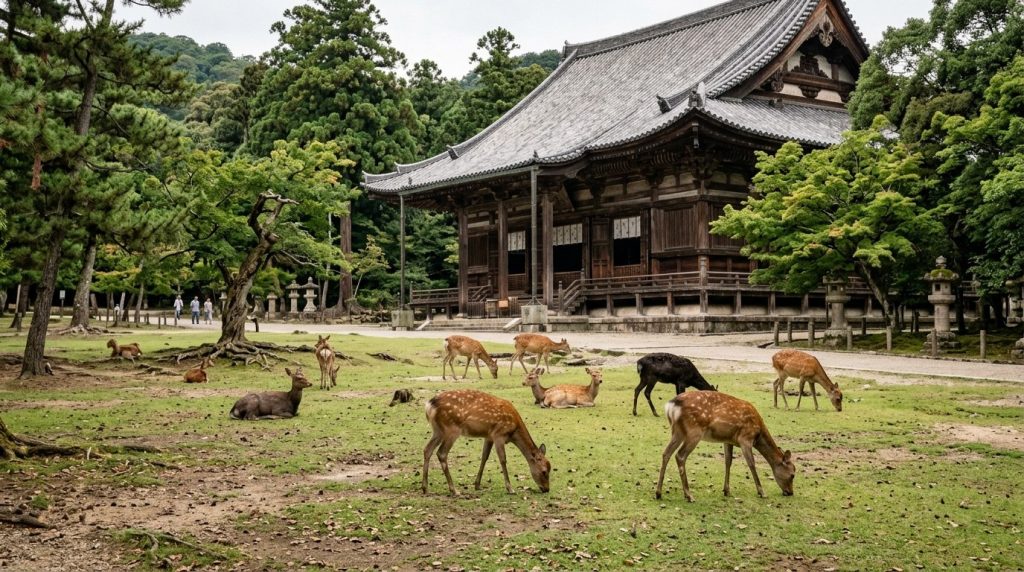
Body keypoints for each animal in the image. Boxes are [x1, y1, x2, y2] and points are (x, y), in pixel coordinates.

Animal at [422, 389, 550, 496]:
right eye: (544, 471)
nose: (547, 489)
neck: (514, 431)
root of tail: (429, 405)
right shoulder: (499, 434)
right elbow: (503, 460)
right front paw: (510, 488)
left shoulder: (489, 436)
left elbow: (484, 457)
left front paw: (477, 485)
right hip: (452, 428)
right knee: (441, 453)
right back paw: (454, 490)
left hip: (438, 430)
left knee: (427, 449)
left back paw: (425, 488)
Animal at [656, 390, 795, 502]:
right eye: (793, 474)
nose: (790, 492)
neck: (758, 433)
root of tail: (671, 405)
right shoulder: (745, 438)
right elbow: (751, 463)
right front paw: (762, 492)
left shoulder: (728, 440)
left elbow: (728, 461)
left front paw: (727, 490)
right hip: (694, 431)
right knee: (680, 456)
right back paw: (689, 495)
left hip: (677, 431)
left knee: (666, 453)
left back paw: (658, 493)